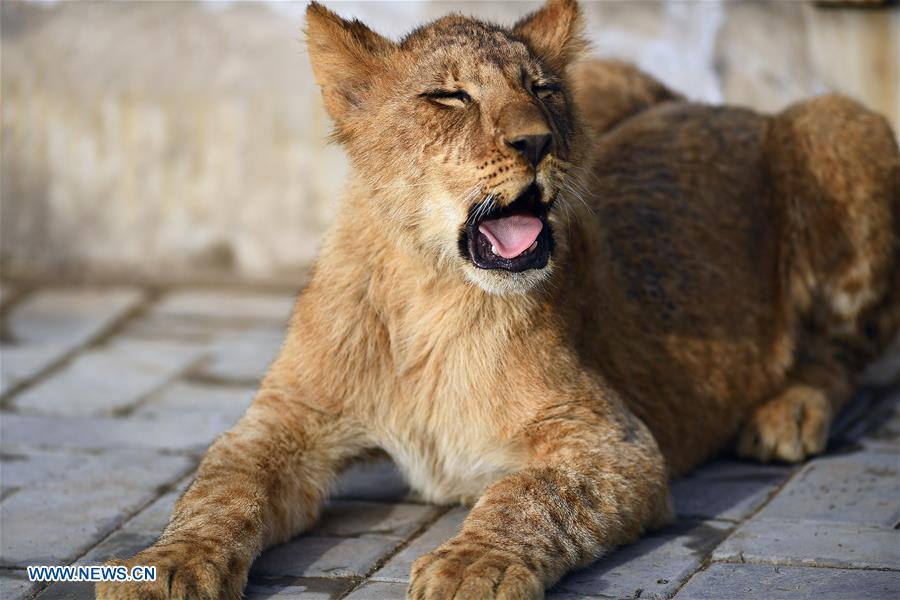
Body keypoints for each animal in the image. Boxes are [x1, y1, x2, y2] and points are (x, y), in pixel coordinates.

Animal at [97, 1, 899, 598]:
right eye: (449, 96)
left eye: (541, 90)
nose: (538, 142)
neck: (426, 295)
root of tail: (719, 104)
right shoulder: (284, 420)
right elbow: (216, 488)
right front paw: (163, 565)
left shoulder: (616, 444)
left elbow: (529, 497)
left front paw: (470, 567)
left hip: (841, 128)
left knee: (848, 348)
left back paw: (788, 414)